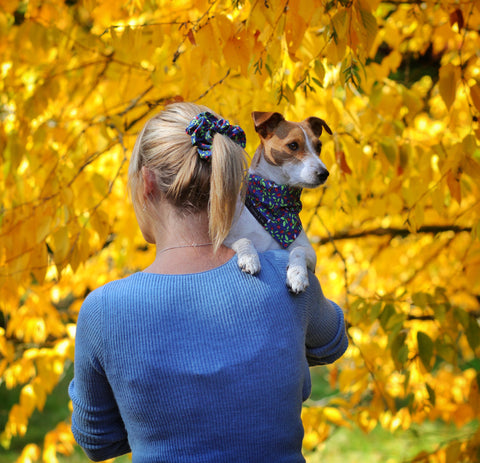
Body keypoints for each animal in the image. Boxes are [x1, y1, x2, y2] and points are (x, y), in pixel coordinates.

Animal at [224, 112, 330, 294]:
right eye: (293, 145)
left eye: (319, 146)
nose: (324, 173)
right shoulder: (226, 242)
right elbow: (244, 240)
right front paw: (249, 258)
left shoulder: (310, 252)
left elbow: (298, 250)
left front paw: (297, 275)